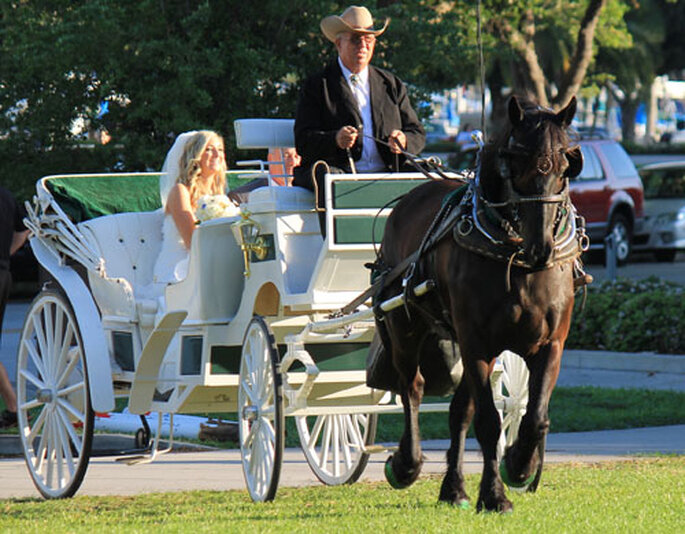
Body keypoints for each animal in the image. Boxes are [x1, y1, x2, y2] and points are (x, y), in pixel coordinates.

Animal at [374, 96, 584, 516]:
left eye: (565, 165)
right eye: (514, 163)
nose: (542, 248)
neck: (517, 257)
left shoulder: (550, 343)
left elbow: (534, 416)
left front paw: (519, 465)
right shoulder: (477, 344)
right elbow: (488, 422)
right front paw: (495, 495)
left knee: (459, 412)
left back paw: (453, 488)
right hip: (405, 326)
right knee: (412, 388)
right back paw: (407, 463)